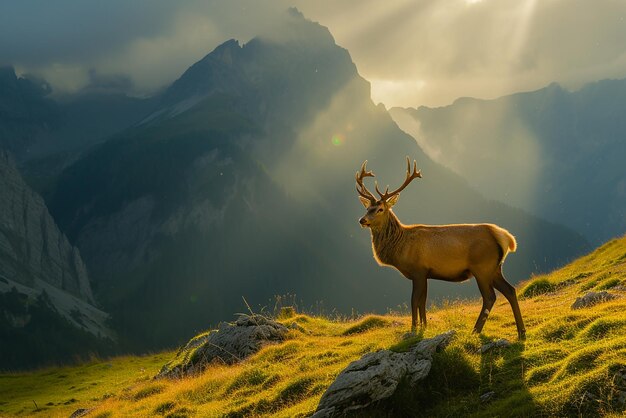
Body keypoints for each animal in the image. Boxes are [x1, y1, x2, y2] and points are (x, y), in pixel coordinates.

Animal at [354, 157, 524, 340]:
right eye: (367, 208)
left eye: (380, 209)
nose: (362, 220)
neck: (400, 248)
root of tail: (505, 237)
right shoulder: (426, 274)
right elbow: (423, 302)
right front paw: (424, 327)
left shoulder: (418, 270)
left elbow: (414, 301)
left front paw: (413, 329)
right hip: (496, 268)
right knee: (510, 290)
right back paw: (521, 333)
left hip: (482, 267)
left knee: (490, 297)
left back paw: (475, 330)